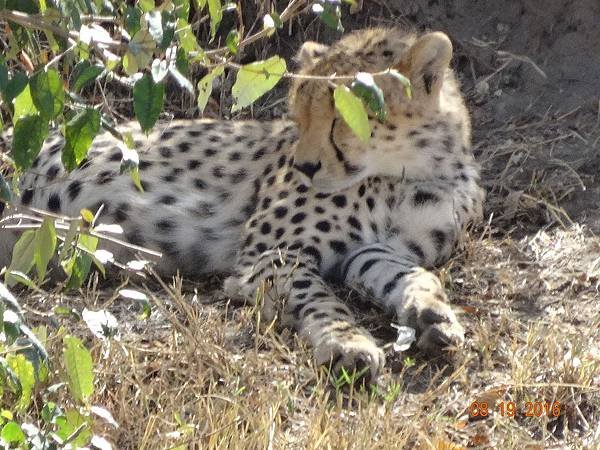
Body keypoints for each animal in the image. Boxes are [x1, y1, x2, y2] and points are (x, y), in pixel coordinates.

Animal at [0, 27, 486, 380]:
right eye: (300, 114)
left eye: (344, 118)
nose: (305, 166)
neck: (416, 171)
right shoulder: (270, 255)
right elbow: (318, 297)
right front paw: (347, 342)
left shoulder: (370, 251)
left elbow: (413, 274)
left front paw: (432, 313)